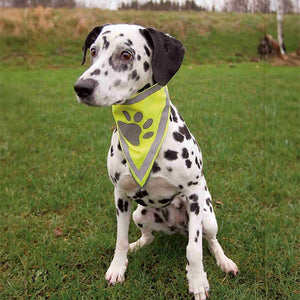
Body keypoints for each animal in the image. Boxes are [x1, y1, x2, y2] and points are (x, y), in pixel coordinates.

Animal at [74, 24, 238, 300]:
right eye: (94, 51)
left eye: (126, 54)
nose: (81, 87)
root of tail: (175, 229)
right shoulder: (120, 195)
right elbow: (119, 238)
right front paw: (118, 267)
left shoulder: (194, 194)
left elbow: (194, 250)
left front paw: (197, 281)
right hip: (140, 213)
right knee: (148, 236)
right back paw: (137, 245)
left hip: (207, 216)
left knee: (211, 241)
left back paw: (224, 261)